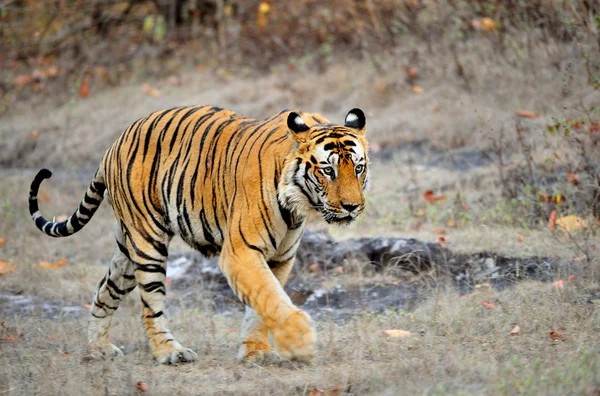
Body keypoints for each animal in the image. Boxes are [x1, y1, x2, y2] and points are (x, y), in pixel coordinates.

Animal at [29, 105, 370, 366]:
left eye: (359, 168)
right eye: (328, 171)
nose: (353, 206)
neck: (297, 202)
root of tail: (113, 145)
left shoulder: (279, 258)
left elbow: (262, 305)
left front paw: (256, 352)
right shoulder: (240, 252)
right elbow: (271, 298)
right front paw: (300, 341)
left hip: (126, 252)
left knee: (105, 290)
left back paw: (98, 348)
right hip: (148, 242)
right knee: (151, 305)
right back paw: (170, 352)